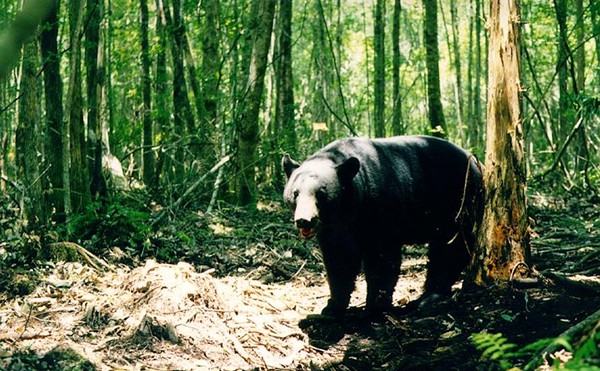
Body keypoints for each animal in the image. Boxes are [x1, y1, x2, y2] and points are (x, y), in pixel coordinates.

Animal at [284, 137, 486, 316]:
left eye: (320, 193)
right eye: (295, 193)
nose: (304, 220)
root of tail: (480, 165)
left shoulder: (381, 210)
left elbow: (381, 257)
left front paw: (375, 307)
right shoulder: (333, 227)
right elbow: (339, 258)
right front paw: (333, 305)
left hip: (459, 202)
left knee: (450, 250)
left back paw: (428, 297)